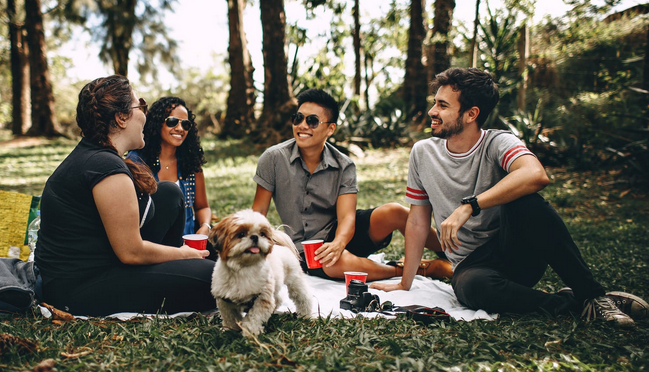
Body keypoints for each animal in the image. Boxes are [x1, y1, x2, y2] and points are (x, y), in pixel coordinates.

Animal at [206, 209, 310, 338]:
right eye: (241, 234)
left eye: (262, 234)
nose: (255, 237)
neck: (243, 269)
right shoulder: (225, 300)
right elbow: (230, 317)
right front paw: (230, 330)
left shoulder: (262, 298)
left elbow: (254, 317)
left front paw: (250, 332)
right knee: (278, 298)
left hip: (295, 281)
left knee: (303, 298)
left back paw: (306, 315)